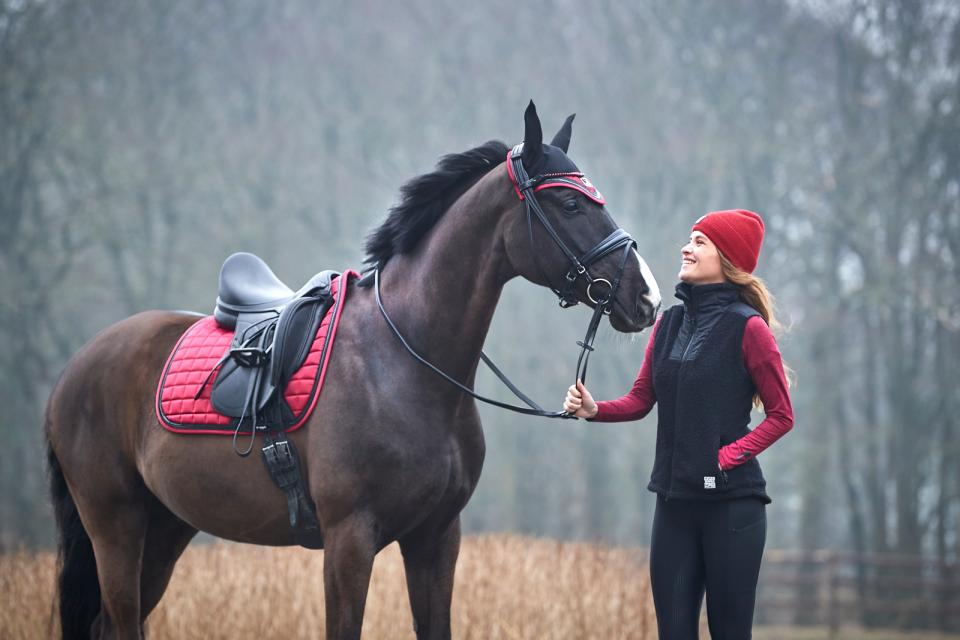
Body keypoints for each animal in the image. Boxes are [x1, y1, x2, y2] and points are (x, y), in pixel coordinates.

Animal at [45, 102, 660, 636]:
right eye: (571, 206)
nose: (646, 297)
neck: (405, 363)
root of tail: (75, 370)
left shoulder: (437, 538)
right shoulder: (349, 540)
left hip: (166, 526)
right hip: (115, 526)